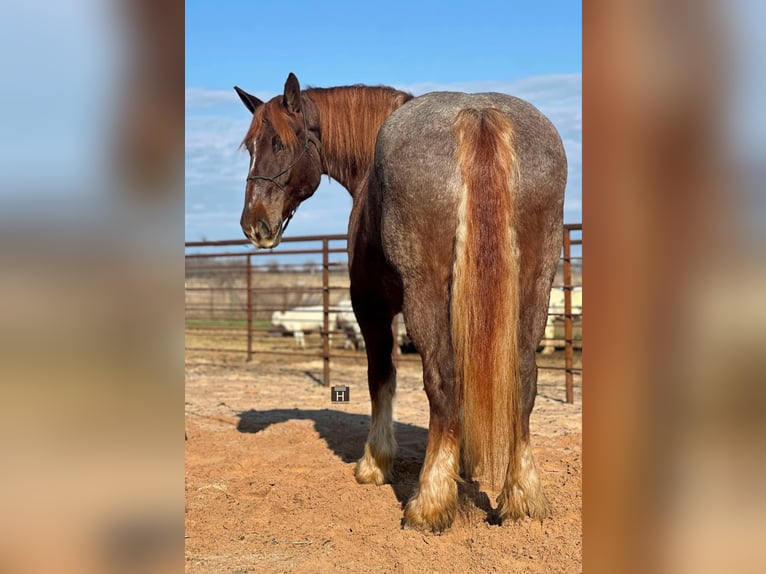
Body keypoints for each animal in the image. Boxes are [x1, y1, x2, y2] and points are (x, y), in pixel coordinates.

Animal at [234, 73, 566, 532]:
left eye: (279, 144)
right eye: (251, 147)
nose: (255, 224)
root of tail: (478, 117)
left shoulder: (371, 306)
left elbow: (382, 376)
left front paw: (375, 463)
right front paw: (465, 463)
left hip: (424, 294)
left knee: (440, 381)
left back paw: (430, 503)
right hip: (534, 286)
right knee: (523, 379)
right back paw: (522, 497)